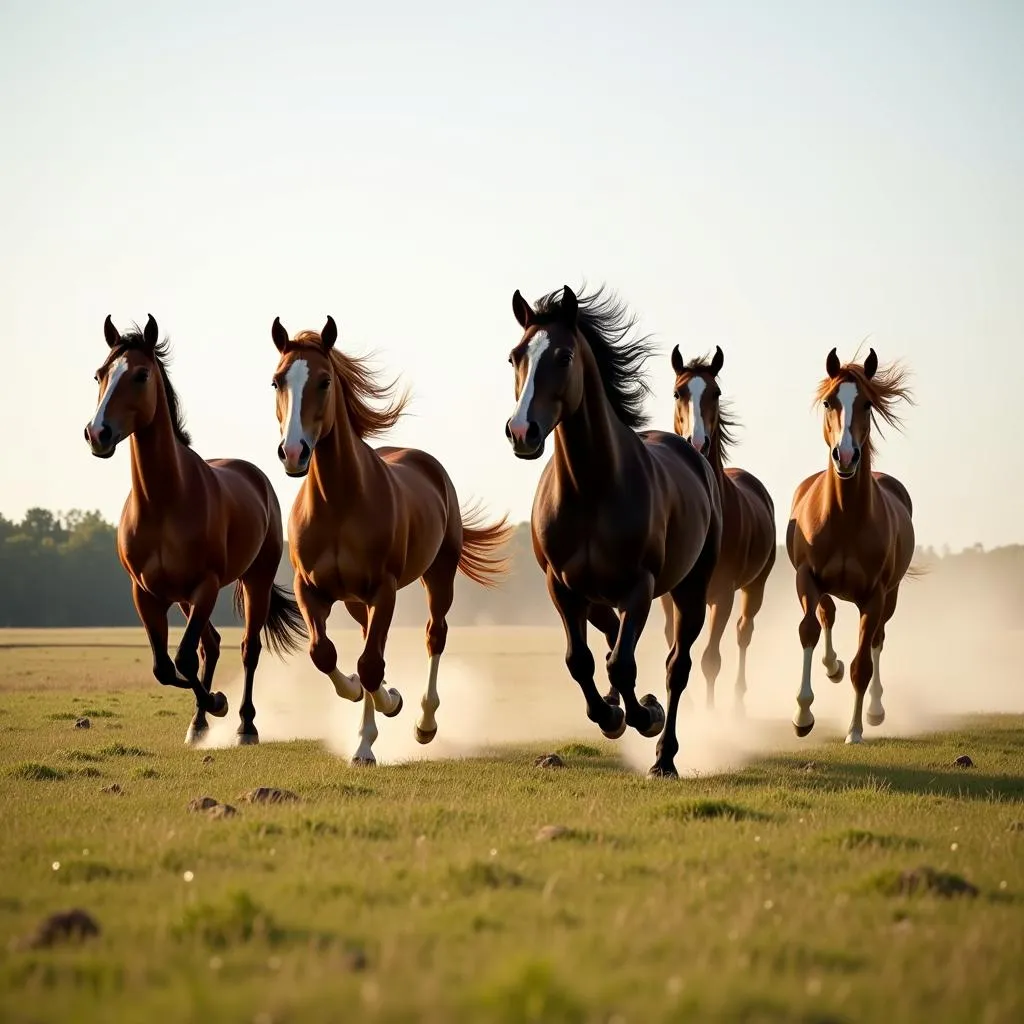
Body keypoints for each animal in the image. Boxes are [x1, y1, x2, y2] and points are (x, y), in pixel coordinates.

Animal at [84, 313, 305, 745]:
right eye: (100, 374)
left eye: (140, 375)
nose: (97, 433)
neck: (164, 501)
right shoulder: (146, 594)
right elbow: (164, 667)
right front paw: (209, 705)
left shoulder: (205, 585)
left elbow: (183, 658)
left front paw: (219, 702)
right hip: (185, 598)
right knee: (211, 646)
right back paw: (199, 723)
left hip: (253, 581)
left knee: (247, 648)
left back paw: (245, 725)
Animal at [270, 315, 512, 765]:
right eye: (277, 381)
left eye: (325, 381)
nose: (293, 453)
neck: (338, 503)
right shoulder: (310, 588)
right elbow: (325, 654)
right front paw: (359, 697)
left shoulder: (383, 590)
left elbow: (370, 664)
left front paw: (372, 734)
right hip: (353, 600)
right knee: (369, 642)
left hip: (438, 576)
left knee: (434, 635)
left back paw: (423, 723)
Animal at [503, 284, 720, 778]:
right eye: (515, 356)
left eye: (563, 356)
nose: (522, 431)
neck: (592, 488)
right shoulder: (561, 587)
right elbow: (581, 661)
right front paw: (610, 715)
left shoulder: (640, 586)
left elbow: (623, 664)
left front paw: (644, 714)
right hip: (599, 597)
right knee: (608, 638)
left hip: (690, 591)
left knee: (675, 666)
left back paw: (664, 756)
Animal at [655, 348, 774, 716]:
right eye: (677, 393)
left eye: (716, 393)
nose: (697, 442)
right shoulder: (670, 596)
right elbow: (673, 642)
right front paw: (691, 706)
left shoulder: (723, 595)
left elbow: (710, 659)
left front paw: (709, 715)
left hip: (753, 588)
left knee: (743, 633)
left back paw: (737, 703)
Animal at [786, 348, 917, 741]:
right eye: (829, 401)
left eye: (868, 404)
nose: (846, 456)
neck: (845, 518)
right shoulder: (806, 577)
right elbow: (809, 630)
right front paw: (802, 715)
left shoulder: (874, 597)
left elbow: (863, 664)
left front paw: (855, 730)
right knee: (826, 614)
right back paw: (832, 667)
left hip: (890, 597)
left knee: (877, 642)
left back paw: (874, 710)